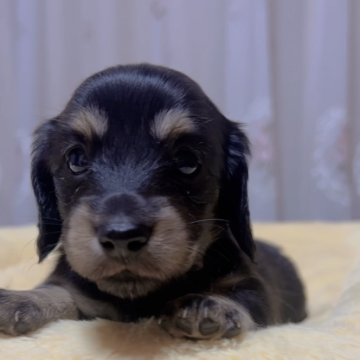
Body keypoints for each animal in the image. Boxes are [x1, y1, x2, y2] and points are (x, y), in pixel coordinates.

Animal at [0, 64, 306, 340]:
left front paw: (208, 305)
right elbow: (60, 290)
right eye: (75, 159)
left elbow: (244, 297)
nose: (121, 237)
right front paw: (22, 299)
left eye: (187, 161)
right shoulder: (82, 294)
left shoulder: (256, 289)